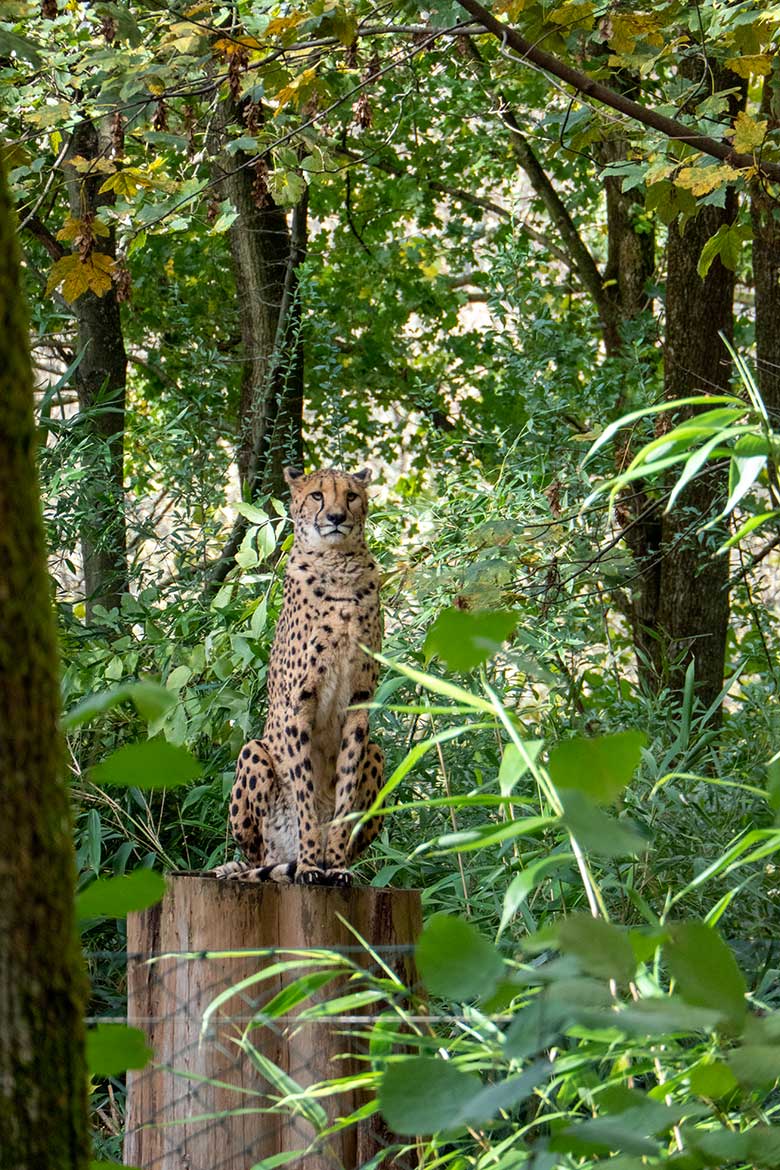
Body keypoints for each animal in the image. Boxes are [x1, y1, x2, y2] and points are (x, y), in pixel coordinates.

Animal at [214, 465, 383, 884]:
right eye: (318, 495)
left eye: (351, 496)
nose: (336, 517)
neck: (338, 567)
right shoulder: (298, 703)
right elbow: (304, 790)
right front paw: (309, 863)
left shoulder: (359, 703)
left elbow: (345, 791)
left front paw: (334, 863)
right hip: (253, 752)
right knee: (259, 856)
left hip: (378, 752)